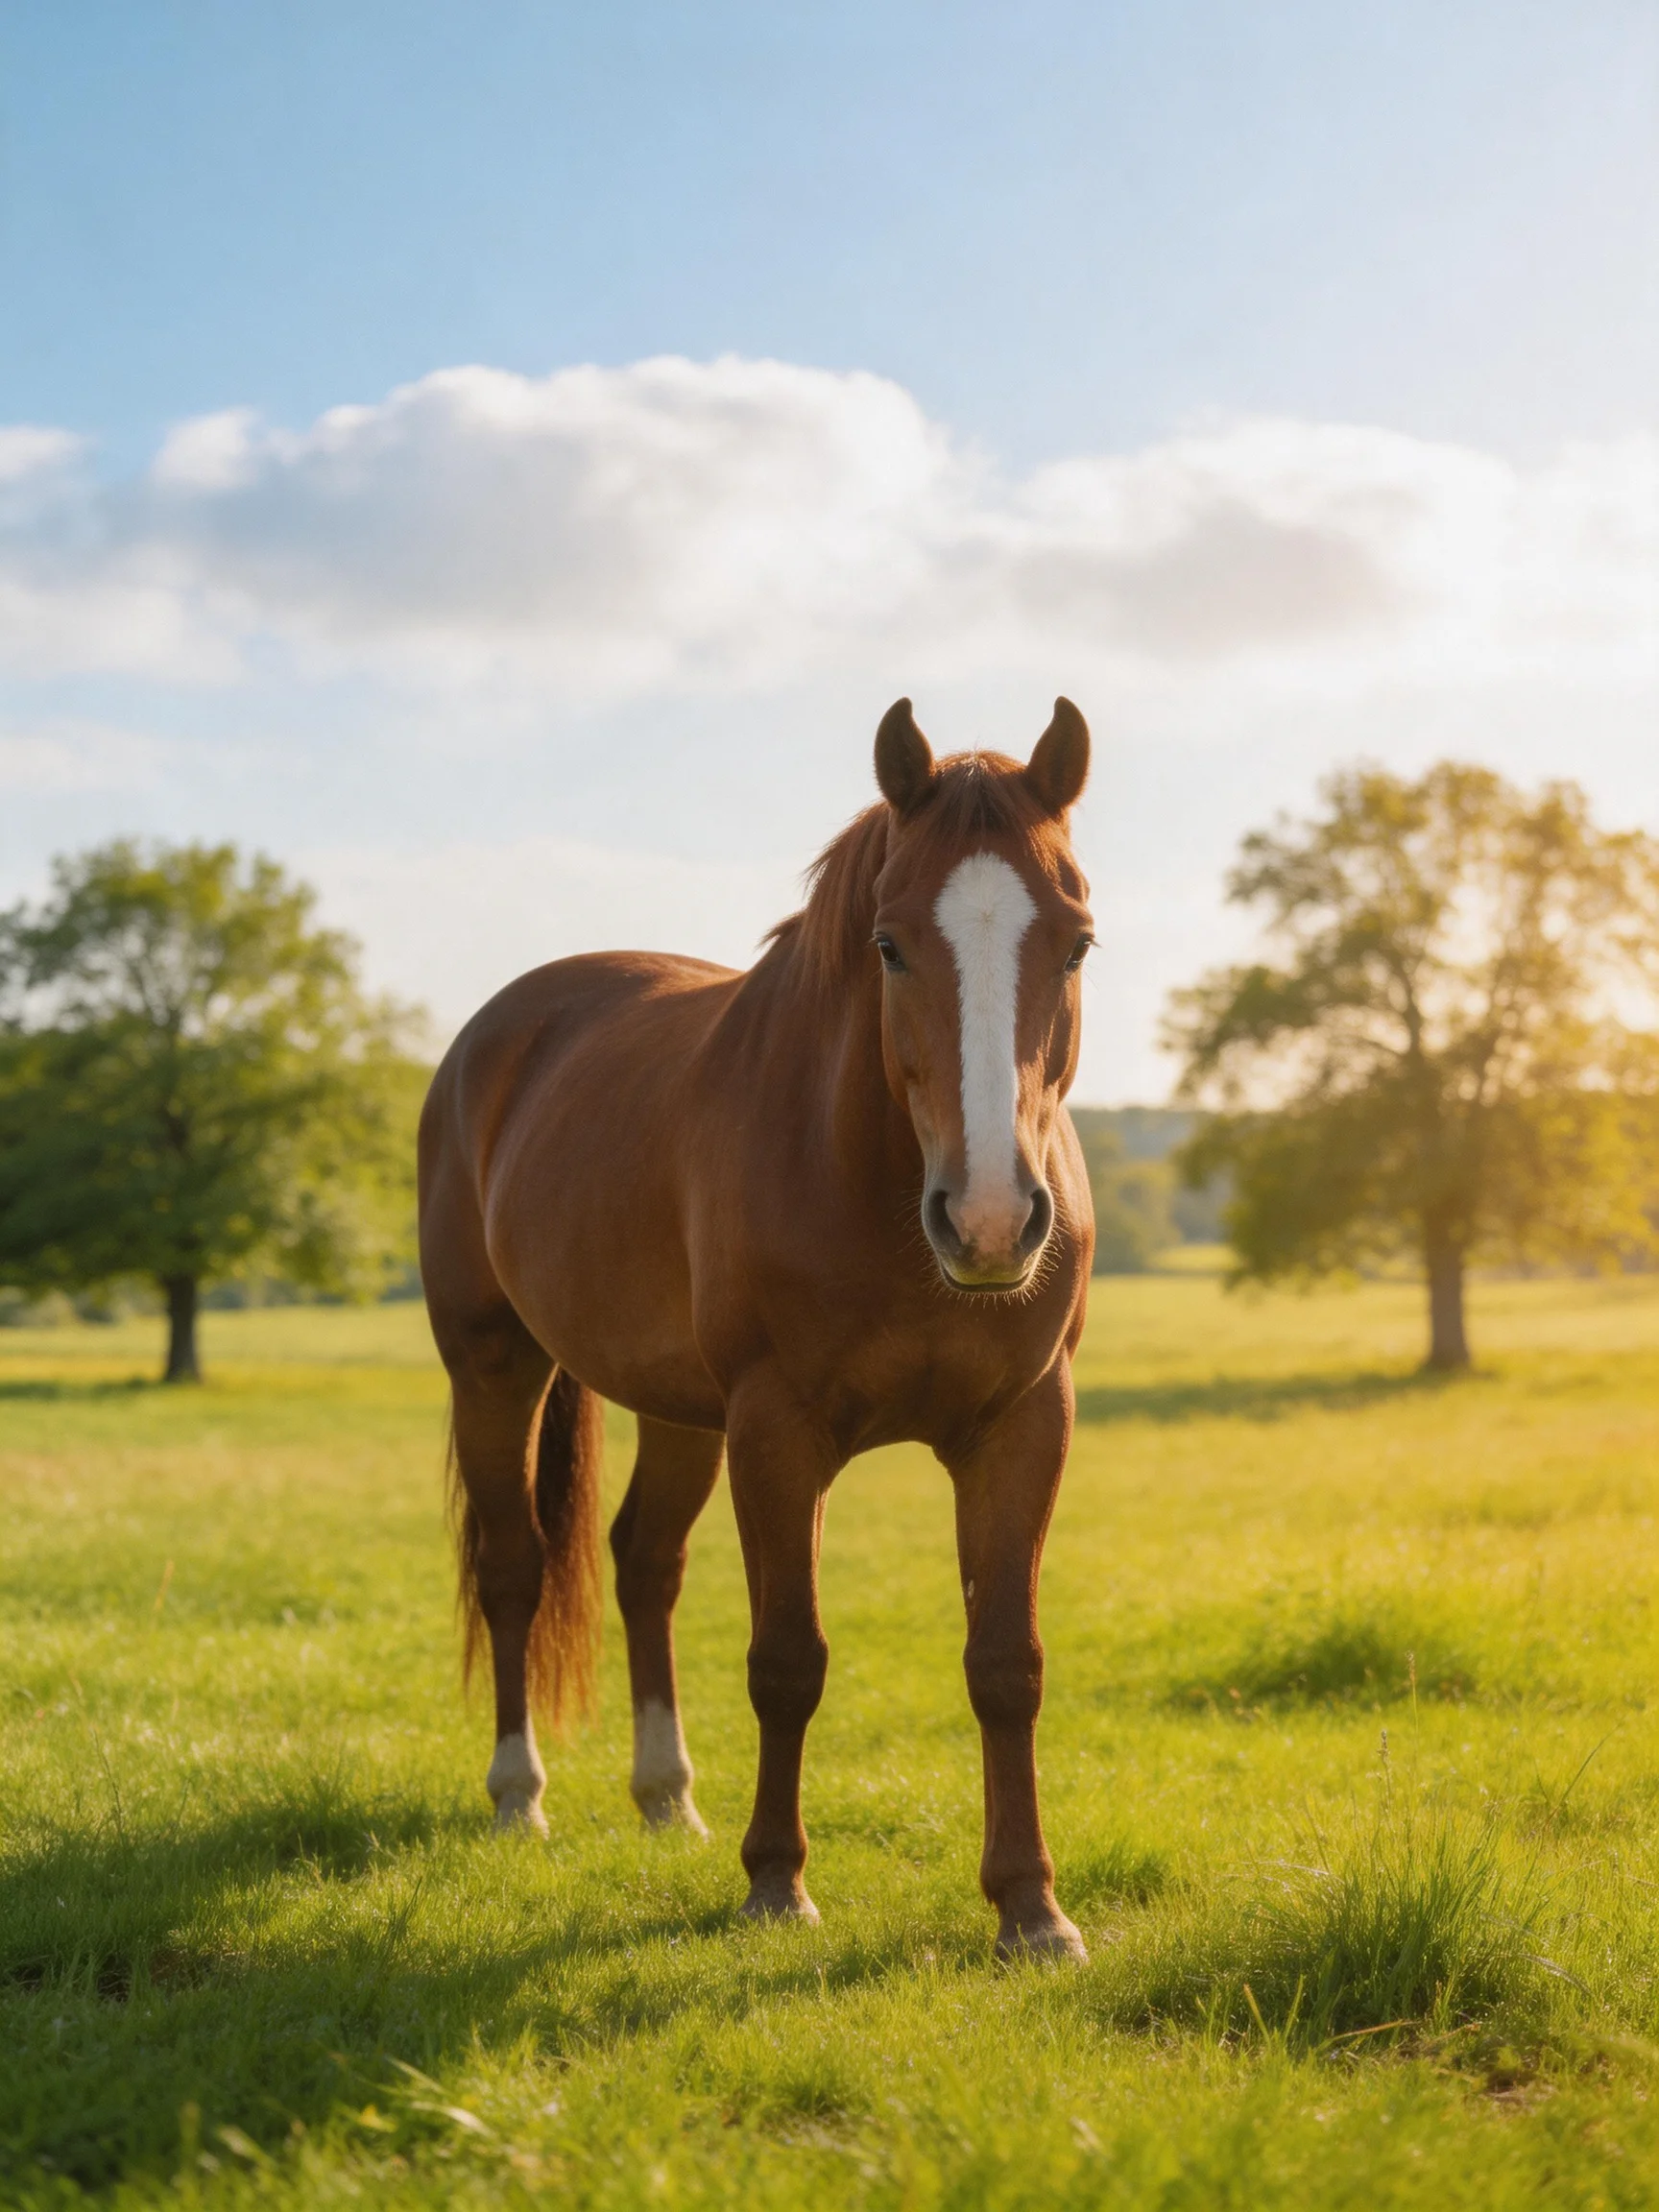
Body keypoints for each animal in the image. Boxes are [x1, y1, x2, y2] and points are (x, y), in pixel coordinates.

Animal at [418, 696, 1096, 1959]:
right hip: (494, 1368)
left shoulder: (1023, 1427)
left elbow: (1005, 1664)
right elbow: (788, 1659)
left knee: (645, 1564)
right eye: (889, 945)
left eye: (1074, 941)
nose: (988, 1220)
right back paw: (518, 1797)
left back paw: (665, 1799)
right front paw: (777, 1882)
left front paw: (1031, 1909)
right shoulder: (778, 1432)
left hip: (681, 1412)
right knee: (514, 1568)